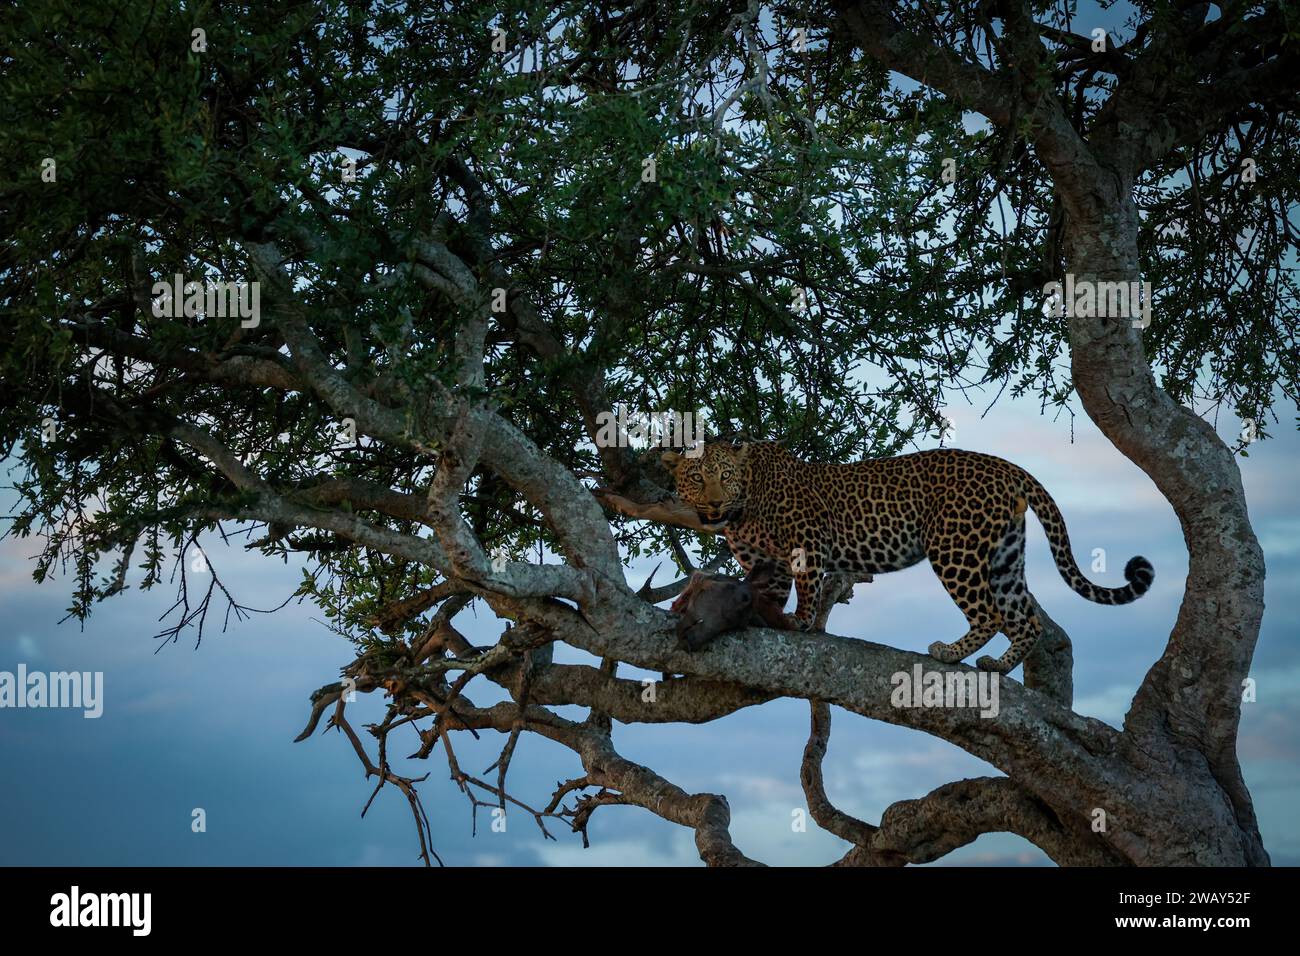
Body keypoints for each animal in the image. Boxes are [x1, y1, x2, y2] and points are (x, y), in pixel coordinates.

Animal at [660, 440, 1154, 674]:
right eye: (696, 478)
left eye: (724, 476)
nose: (714, 503)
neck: (744, 504)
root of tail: (1007, 466)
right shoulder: (764, 562)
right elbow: (769, 592)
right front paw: (773, 618)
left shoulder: (807, 540)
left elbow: (807, 585)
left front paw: (801, 622)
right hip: (1005, 555)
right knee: (1024, 617)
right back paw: (998, 664)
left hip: (954, 546)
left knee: (990, 613)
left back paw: (950, 653)